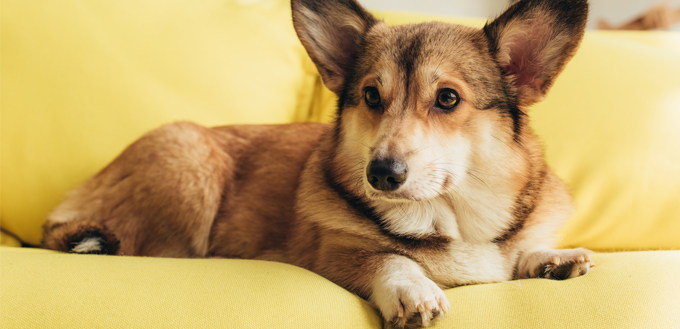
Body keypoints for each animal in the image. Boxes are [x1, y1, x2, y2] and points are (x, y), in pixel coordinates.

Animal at [45, 0, 592, 326]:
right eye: (371, 96)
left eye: (448, 99)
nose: (381, 174)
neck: (450, 217)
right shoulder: (335, 256)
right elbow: (390, 258)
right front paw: (414, 290)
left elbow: (521, 252)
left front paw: (552, 259)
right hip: (189, 167)